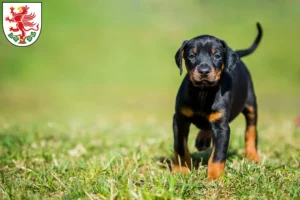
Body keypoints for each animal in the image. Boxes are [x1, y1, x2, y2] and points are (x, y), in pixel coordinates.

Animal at [171, 22, 262, 180]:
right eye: (191, 56)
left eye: (217, 55)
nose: (203, 71)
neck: (203, 92)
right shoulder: (179, 120)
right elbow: (180, 147)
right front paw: (181, 170)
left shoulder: (222, 127)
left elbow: (217, 156)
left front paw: (214, 178)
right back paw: (203, 139)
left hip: (251, 104)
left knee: (251, 130)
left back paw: (252, 156)